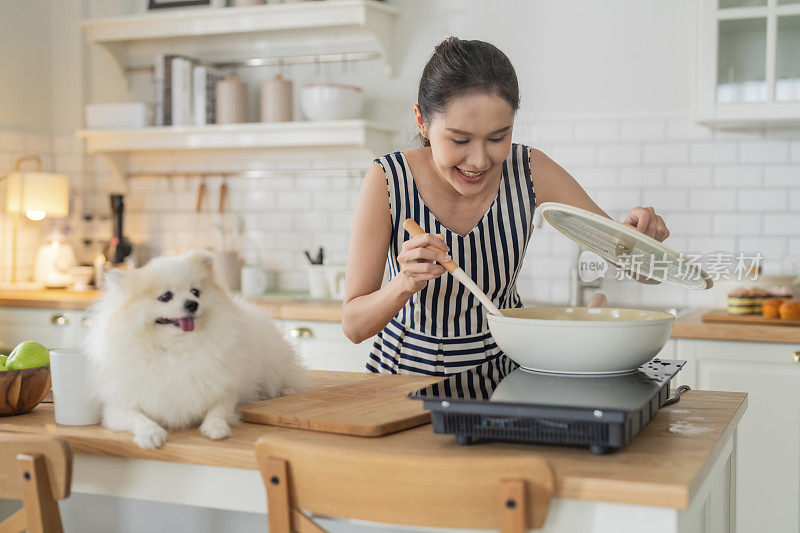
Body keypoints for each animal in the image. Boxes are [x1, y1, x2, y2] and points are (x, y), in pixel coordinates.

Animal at [85, 250, 306, 448]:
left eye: (195, 292)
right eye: (165, 296)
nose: (192, 304)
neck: (177, 348)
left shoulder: (226, 390)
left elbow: (219, 409)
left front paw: (216, 427)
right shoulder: (116, 408)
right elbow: (137, 418)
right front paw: (150, 433)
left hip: (274, 362)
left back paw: (284, 390)